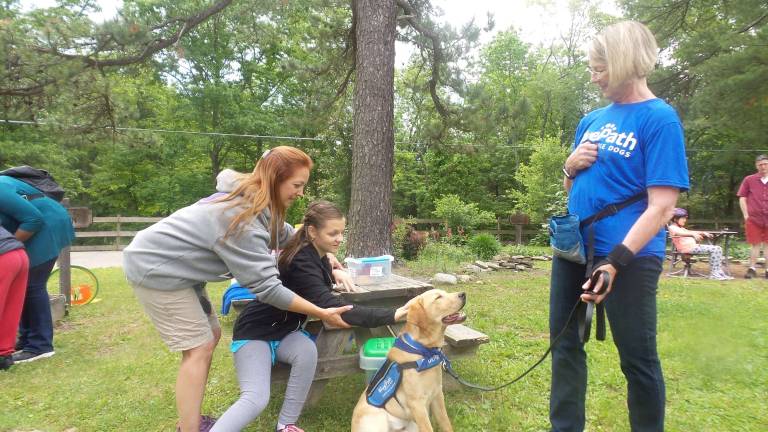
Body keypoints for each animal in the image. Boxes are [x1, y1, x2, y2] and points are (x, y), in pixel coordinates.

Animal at [352, 286, 464, 432]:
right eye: (438, 297)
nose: (463, 294)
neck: (424, 351)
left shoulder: (437, 395)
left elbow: (446, 424)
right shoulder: (417, 405)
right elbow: (428, 428)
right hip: (378, 419)